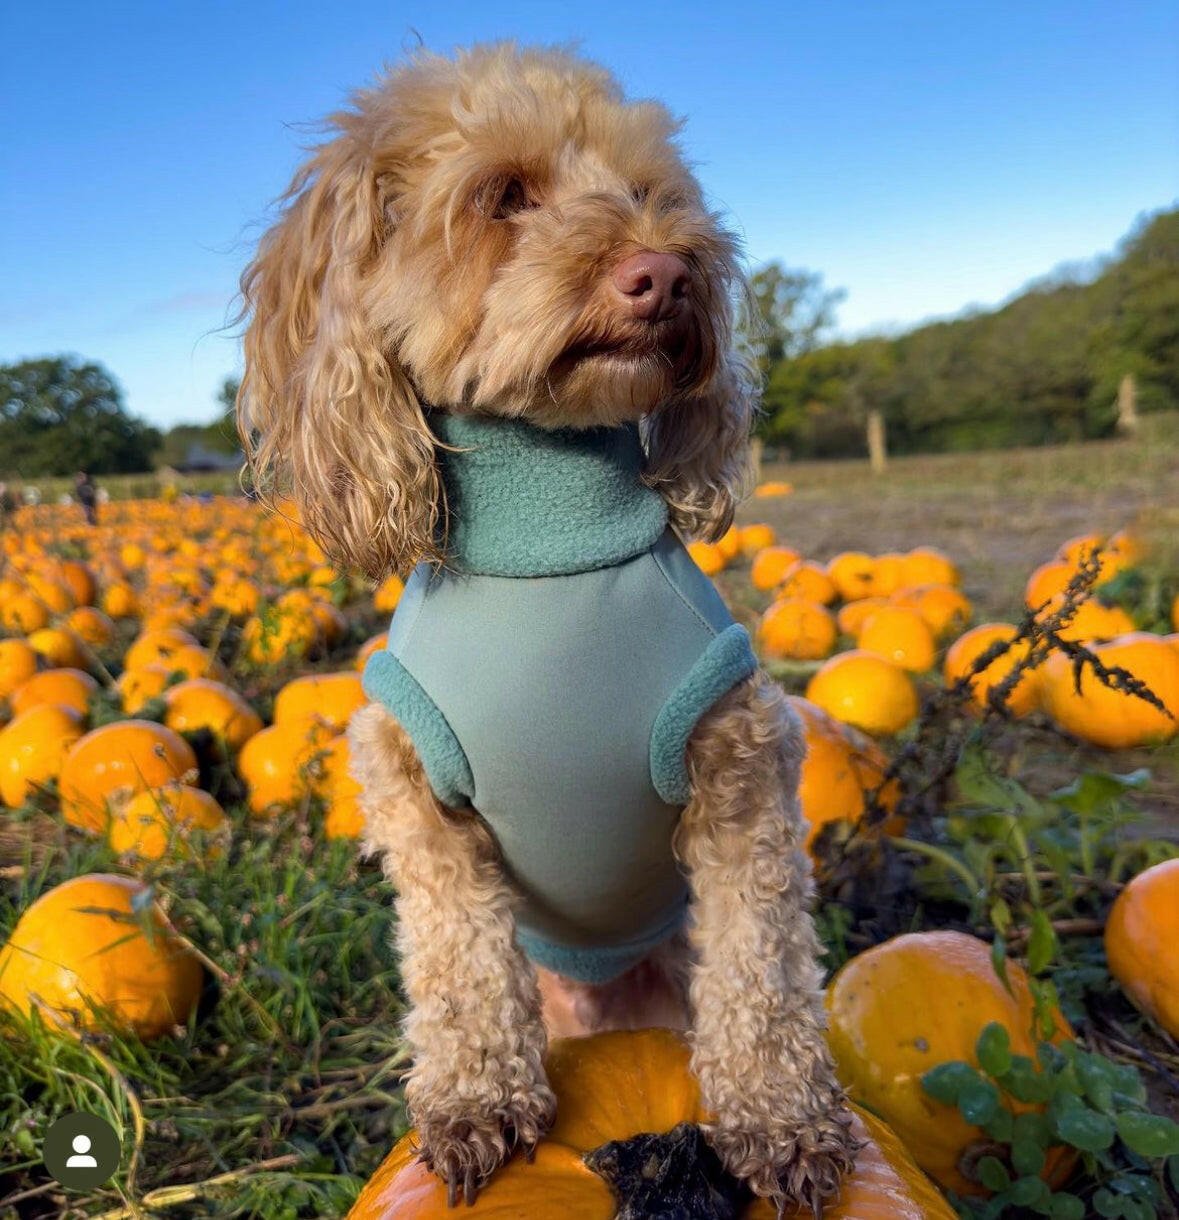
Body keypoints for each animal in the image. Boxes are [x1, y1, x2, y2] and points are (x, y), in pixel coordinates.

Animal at [235, 43, 859, 1215]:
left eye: (654, 192)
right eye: (503, 196)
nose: (667, 272)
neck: (551, 544)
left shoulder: (741, 767)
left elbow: (760, 966)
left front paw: (780, 1117)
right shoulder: (415, 791)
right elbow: (458, 964)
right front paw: (476, 1100)